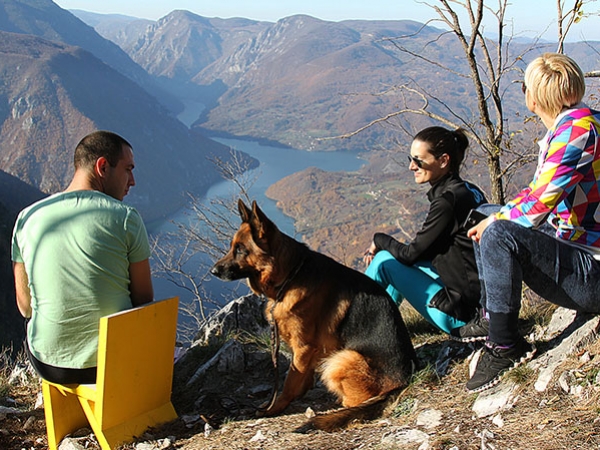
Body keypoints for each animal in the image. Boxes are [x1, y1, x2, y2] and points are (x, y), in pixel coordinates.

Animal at [212, 200, 418, 428]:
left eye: (240, 250)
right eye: (232, 247)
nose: (214, 271)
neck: (291, 275)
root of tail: (403, 381)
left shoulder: (304, 346)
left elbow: (289, 380)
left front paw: (274, 407)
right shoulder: (305, 350)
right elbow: (301, 374)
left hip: (341, 359)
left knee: (353, 401)